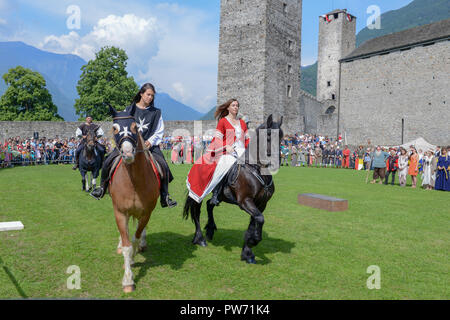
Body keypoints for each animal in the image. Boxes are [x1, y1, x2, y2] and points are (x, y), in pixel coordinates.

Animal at [108, 105, 159, 292]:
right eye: (115, 128)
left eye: (135, 127)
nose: (128, 153)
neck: (134, 181)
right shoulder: (120, 212)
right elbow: (127, 245)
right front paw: (128, 280)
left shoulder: (146, 212)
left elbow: (135, 239)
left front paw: (132, 258)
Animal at [182, 114, 282, 264]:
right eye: (269, 136)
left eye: (282, 136)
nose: (277, 163)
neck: (256, 169)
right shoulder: (245, 201)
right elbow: (259, 219)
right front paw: (253, 241)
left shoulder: (260, 204)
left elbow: (254, 222)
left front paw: (247, 252)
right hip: (198, 193)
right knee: (196, 212)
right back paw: (200, 238)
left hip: (219, 196)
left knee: (209, 205)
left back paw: (210, 229)